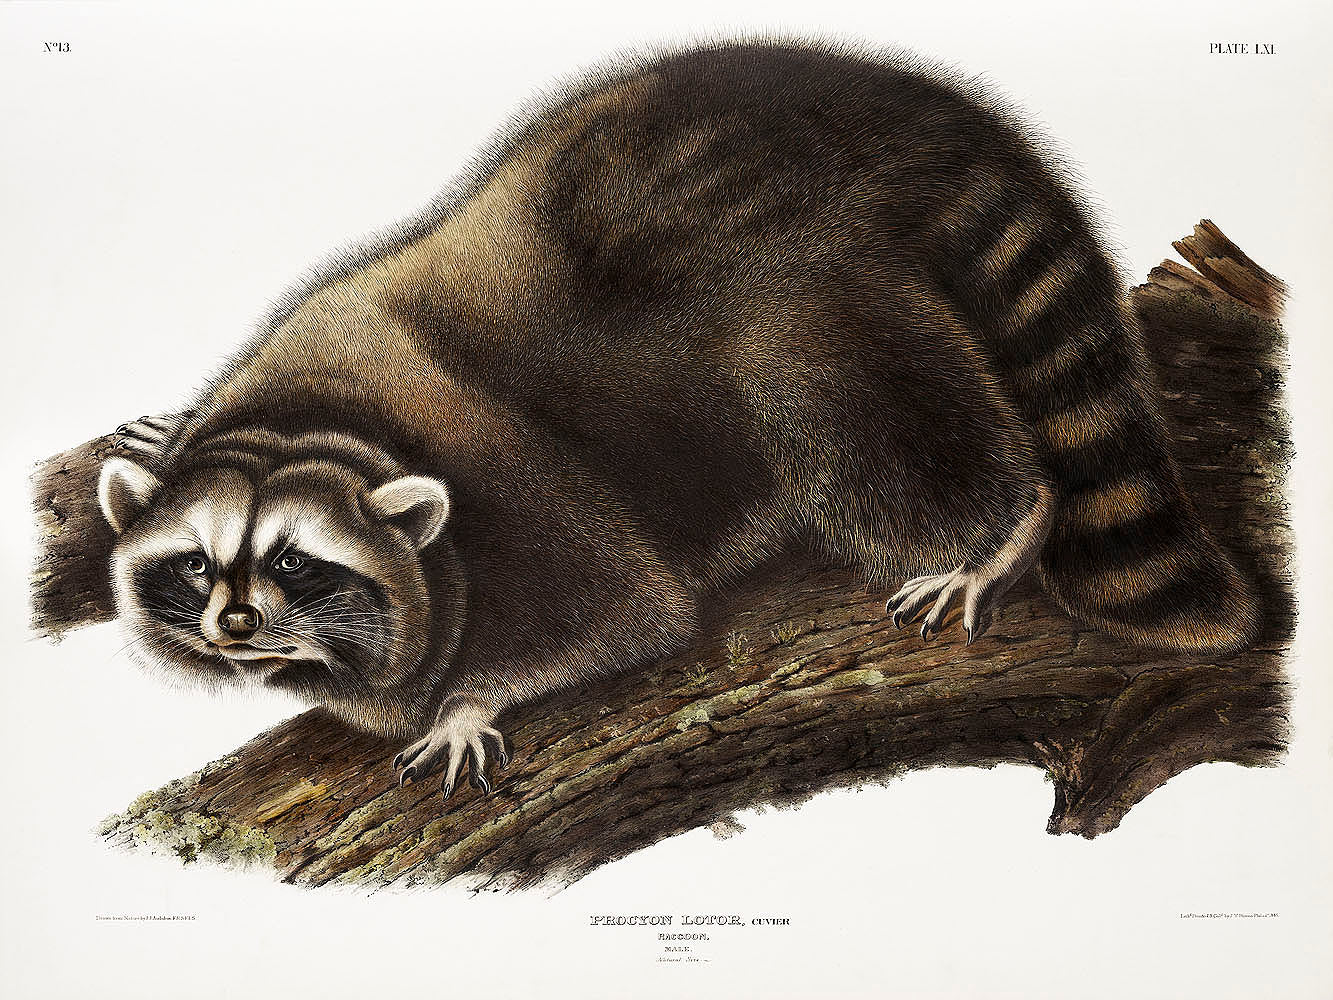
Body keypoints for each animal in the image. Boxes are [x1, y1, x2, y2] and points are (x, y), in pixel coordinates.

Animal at [98, 39, 1261, 799]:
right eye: (197, 564)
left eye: (295, 563)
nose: (235, 626)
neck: (317, 425)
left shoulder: (519, 494)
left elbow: (627, 613)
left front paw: (470, 700)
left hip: (803, 289)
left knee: (846, 405)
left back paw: (999, 527)